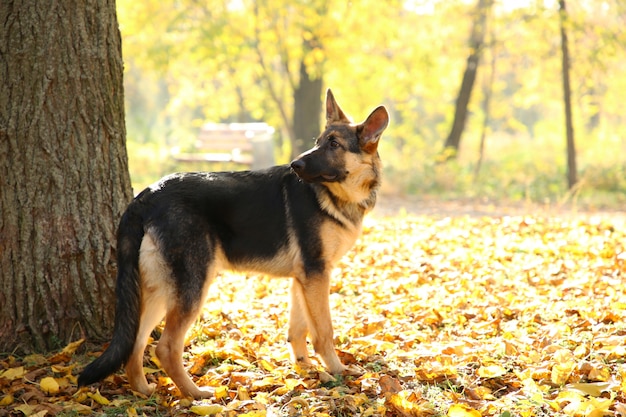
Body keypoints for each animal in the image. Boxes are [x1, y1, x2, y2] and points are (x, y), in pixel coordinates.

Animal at [77, 90, 388, 396]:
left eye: (333, 144)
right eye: (319, 143)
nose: (295, 165)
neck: (335, 195)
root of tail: (148, 193)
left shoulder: (304, 279)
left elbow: (298, 330)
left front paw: (306, 370)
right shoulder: (316, 275)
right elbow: (323, 330)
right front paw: (337, 371)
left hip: (159, 291)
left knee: (136, 342)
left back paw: (144, 390)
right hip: (193, 287)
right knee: (165, 347)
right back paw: (196, 394)